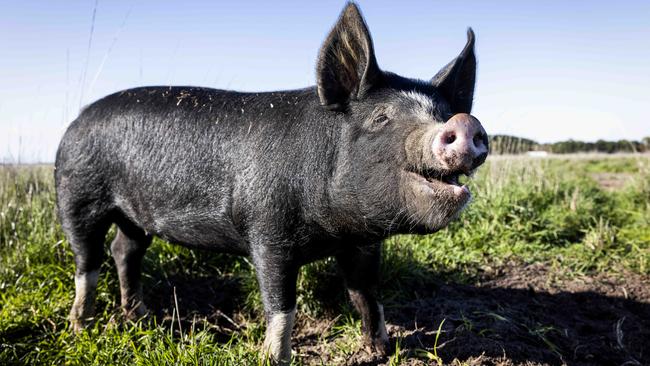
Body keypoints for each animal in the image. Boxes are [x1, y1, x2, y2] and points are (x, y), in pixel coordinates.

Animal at [54, 2, 486, 364]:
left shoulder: (363, 243)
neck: (335, 231)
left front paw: (381, 350)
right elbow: (281, 306)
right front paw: (273, 359)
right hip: (77, 195)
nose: (463, 121)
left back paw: (139, 317)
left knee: (124, 250)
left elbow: (366, 294)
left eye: (443, 112)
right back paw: (80, 328)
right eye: (381, 118)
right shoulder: (267, 233)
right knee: (88, 260)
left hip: (134, 215)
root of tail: (76, 121)